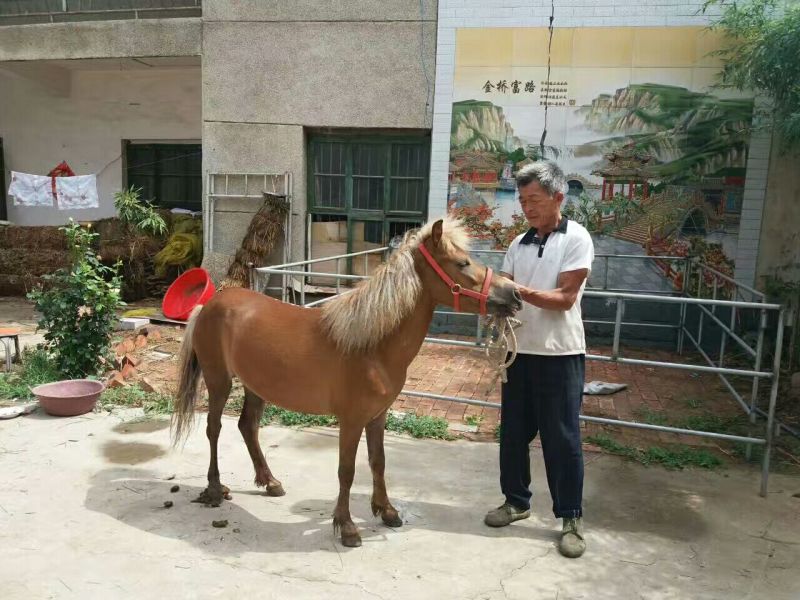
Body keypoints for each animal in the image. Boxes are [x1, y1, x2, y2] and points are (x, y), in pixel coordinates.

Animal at [171, 217, 522, 547]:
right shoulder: (351, 421)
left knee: (247, 426)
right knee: (214, 428)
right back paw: (215, 489)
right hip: (218, 380)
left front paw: (387, 511)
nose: (515, 293)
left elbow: (378, 462)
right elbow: (347, 470)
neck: (372, 347)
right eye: (462, 263)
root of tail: (208, 305)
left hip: (256, 385)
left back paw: (270, 482)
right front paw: (347, 526)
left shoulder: (377, 416)